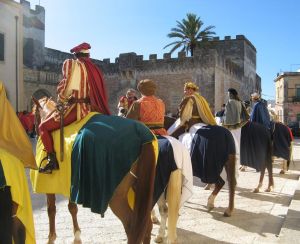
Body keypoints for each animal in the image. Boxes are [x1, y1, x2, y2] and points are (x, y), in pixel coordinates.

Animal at [30, 97, 157, 244]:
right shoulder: (71, 184)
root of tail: (141, 136)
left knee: (131, 226)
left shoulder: (49, 185)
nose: (35, 132)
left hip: (117, 197)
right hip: (140, 190)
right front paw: (77, 237)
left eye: (34, 114)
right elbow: (72, 208)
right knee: (146, 224)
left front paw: (51, 238)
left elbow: (51, 209)